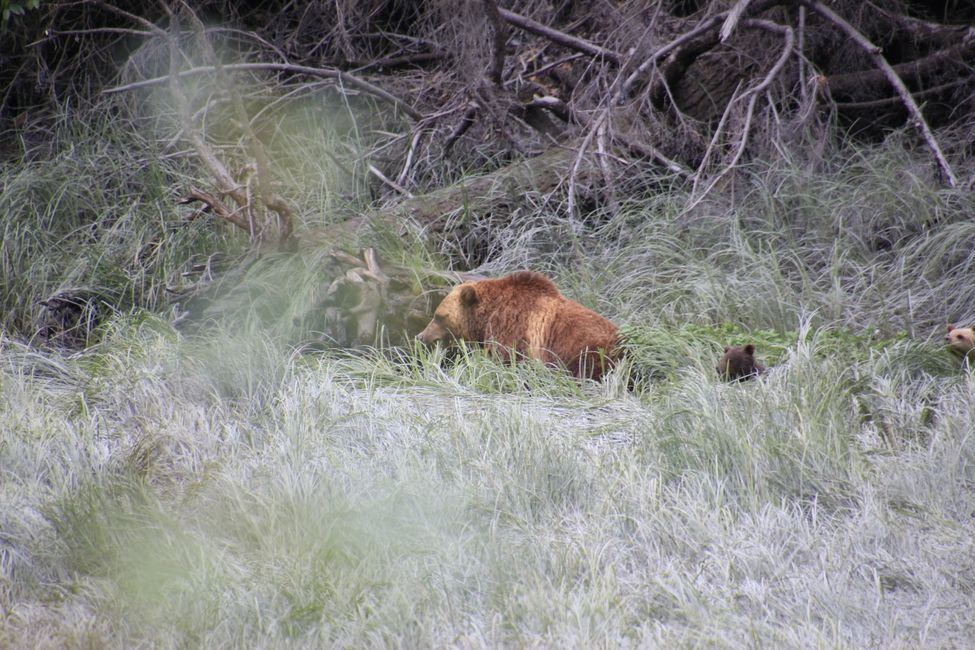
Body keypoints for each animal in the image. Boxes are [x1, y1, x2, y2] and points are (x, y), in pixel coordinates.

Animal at [414, 270, 616, 380]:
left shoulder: (514, 330)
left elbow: (506, 360)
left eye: (439, 316)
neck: (486, 317)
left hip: (587, 351)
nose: (421, 336)